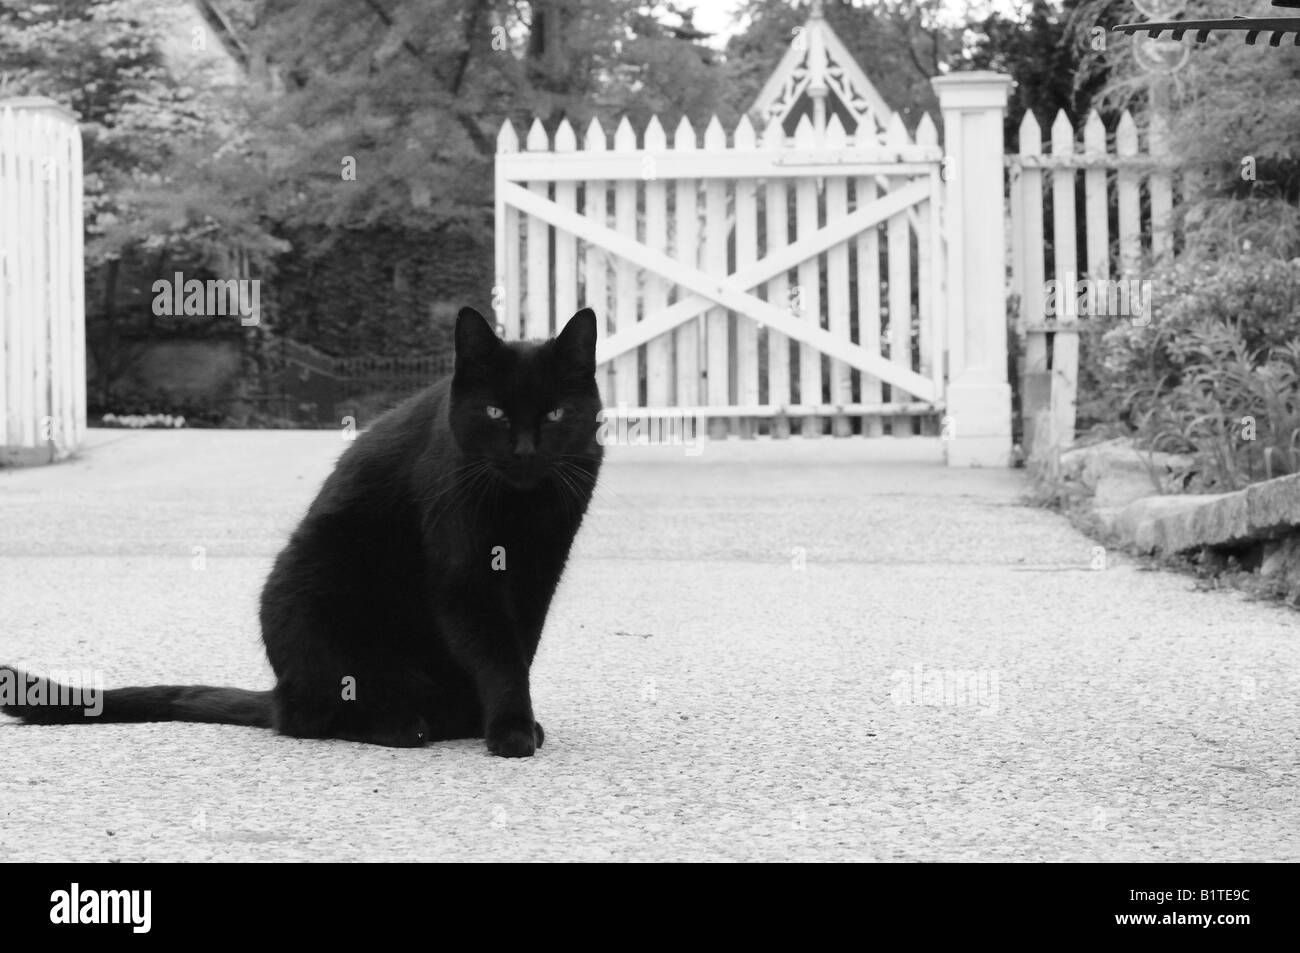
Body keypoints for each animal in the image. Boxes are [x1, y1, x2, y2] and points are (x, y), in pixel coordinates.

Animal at [1, 308, 603, 754]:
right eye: (496, 412)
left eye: (554, 415)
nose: (524, 451)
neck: (525, 503)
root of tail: (278, 691)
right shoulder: (465, 574)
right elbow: (497, 654)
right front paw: (510, 731)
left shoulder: (541, 571)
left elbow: (519, 647)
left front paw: (506, 722)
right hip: (310, 585)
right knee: (310, 718)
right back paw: (401, 723)